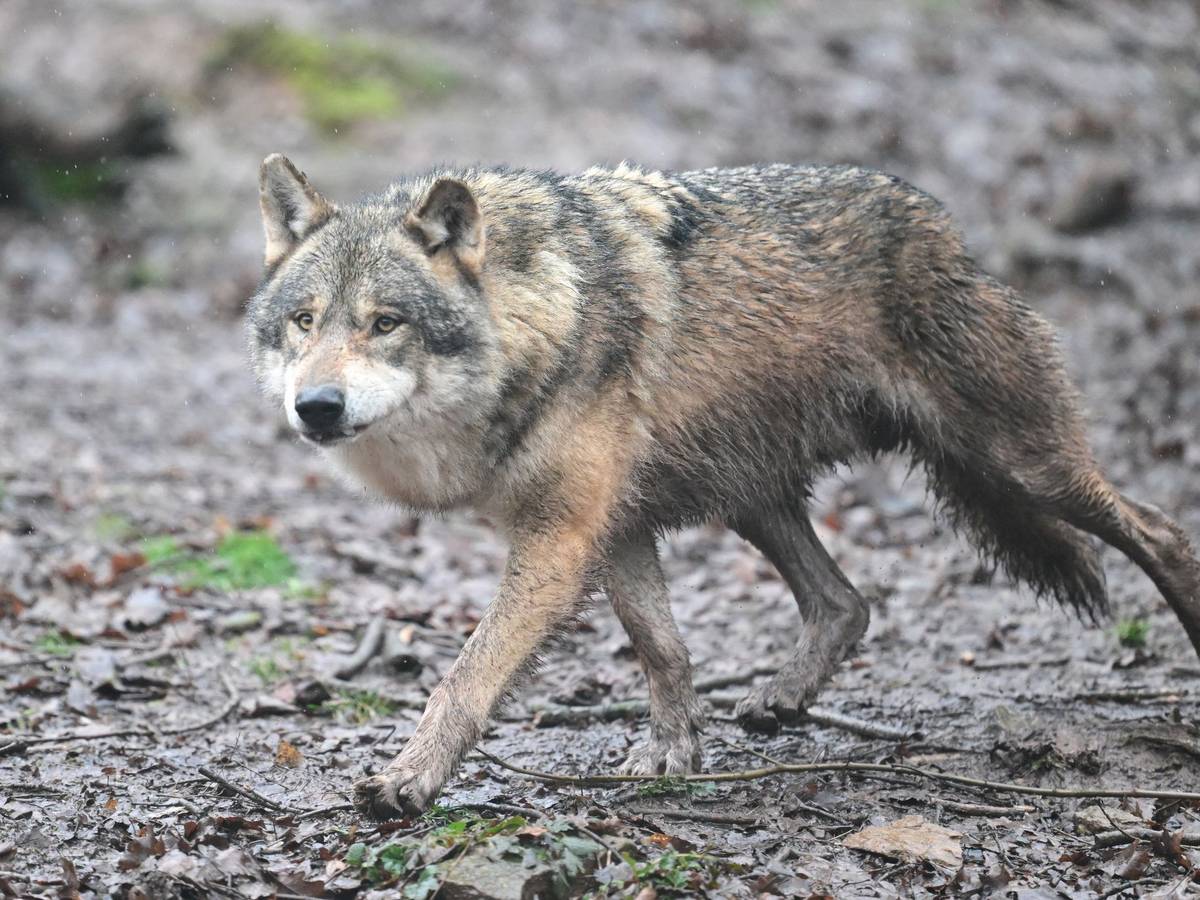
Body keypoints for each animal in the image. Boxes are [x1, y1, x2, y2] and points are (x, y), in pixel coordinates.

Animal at [246, 154, 1200, 819]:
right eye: (304, 322)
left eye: (385, 324)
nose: (316, 407)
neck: (540, 319)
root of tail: (945, 227)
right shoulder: (614, 527)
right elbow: (663, 649)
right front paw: (672, 759)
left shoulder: (559, 539)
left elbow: (464, 678)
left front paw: (407, 780)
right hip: (754, 496)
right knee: (846, 601)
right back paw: (780, 701)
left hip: (1021, 469)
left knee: (1161, 530)